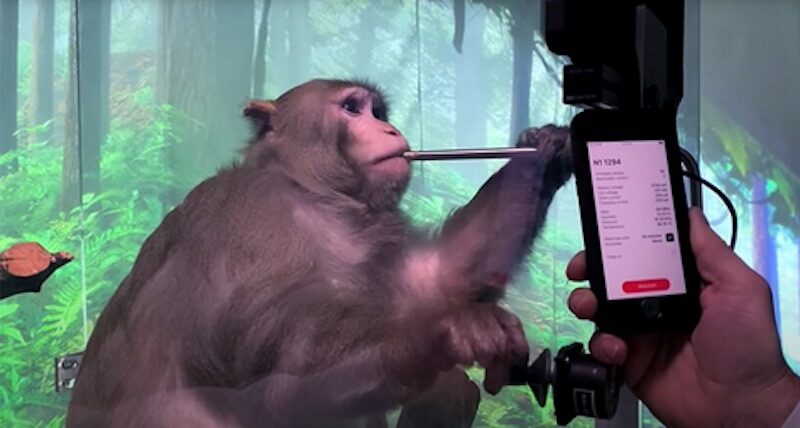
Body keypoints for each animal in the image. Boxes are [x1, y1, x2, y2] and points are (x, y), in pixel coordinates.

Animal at [66, 79, 573, 428]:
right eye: (352, 108)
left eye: (377, 110)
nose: (389, 127)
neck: (308, 193)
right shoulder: (257, 224)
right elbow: (281, 366)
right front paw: (441, 331)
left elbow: (434, 277)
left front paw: (543, 152)